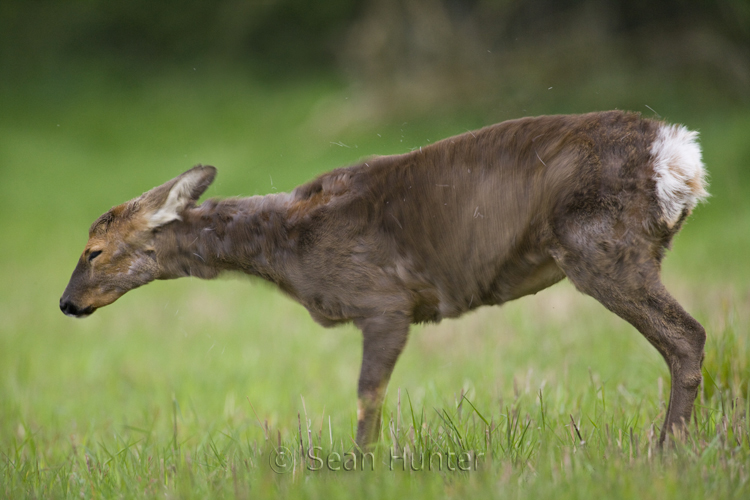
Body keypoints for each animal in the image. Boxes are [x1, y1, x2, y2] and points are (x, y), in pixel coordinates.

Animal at [60, 111, 712, 448]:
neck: (288, 247)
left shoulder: (383, 300)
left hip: (600, 247)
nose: (66, 304)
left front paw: (360, 466)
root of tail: (679, 154)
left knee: (689, 336)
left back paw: (666, 451)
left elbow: (367, 393)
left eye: (93, 251)